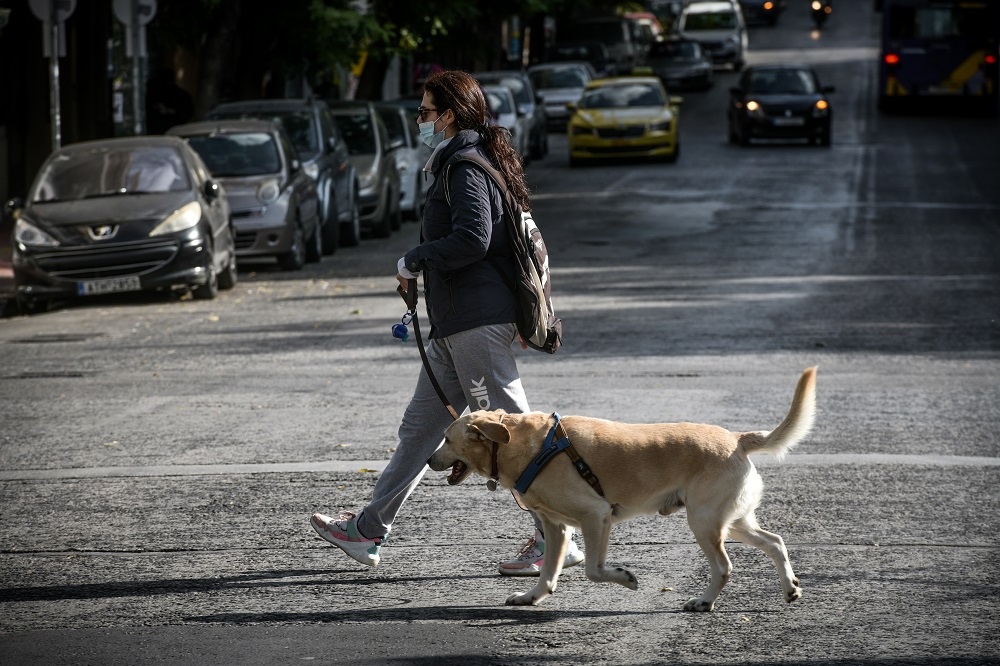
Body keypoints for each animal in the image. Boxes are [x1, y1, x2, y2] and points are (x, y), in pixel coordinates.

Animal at [426, 366, 816, 608]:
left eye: (446, 437)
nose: (428, 459)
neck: (525, 445)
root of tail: (737, 438)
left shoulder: (595, 516)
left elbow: (594, 570)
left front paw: (626, 578)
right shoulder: (557, 527)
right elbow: (549, 573)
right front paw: (531, 597)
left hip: (704, 522)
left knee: (724, 566)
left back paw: (704, 602)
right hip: (731, 520)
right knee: (775, 541)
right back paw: (790, 588)